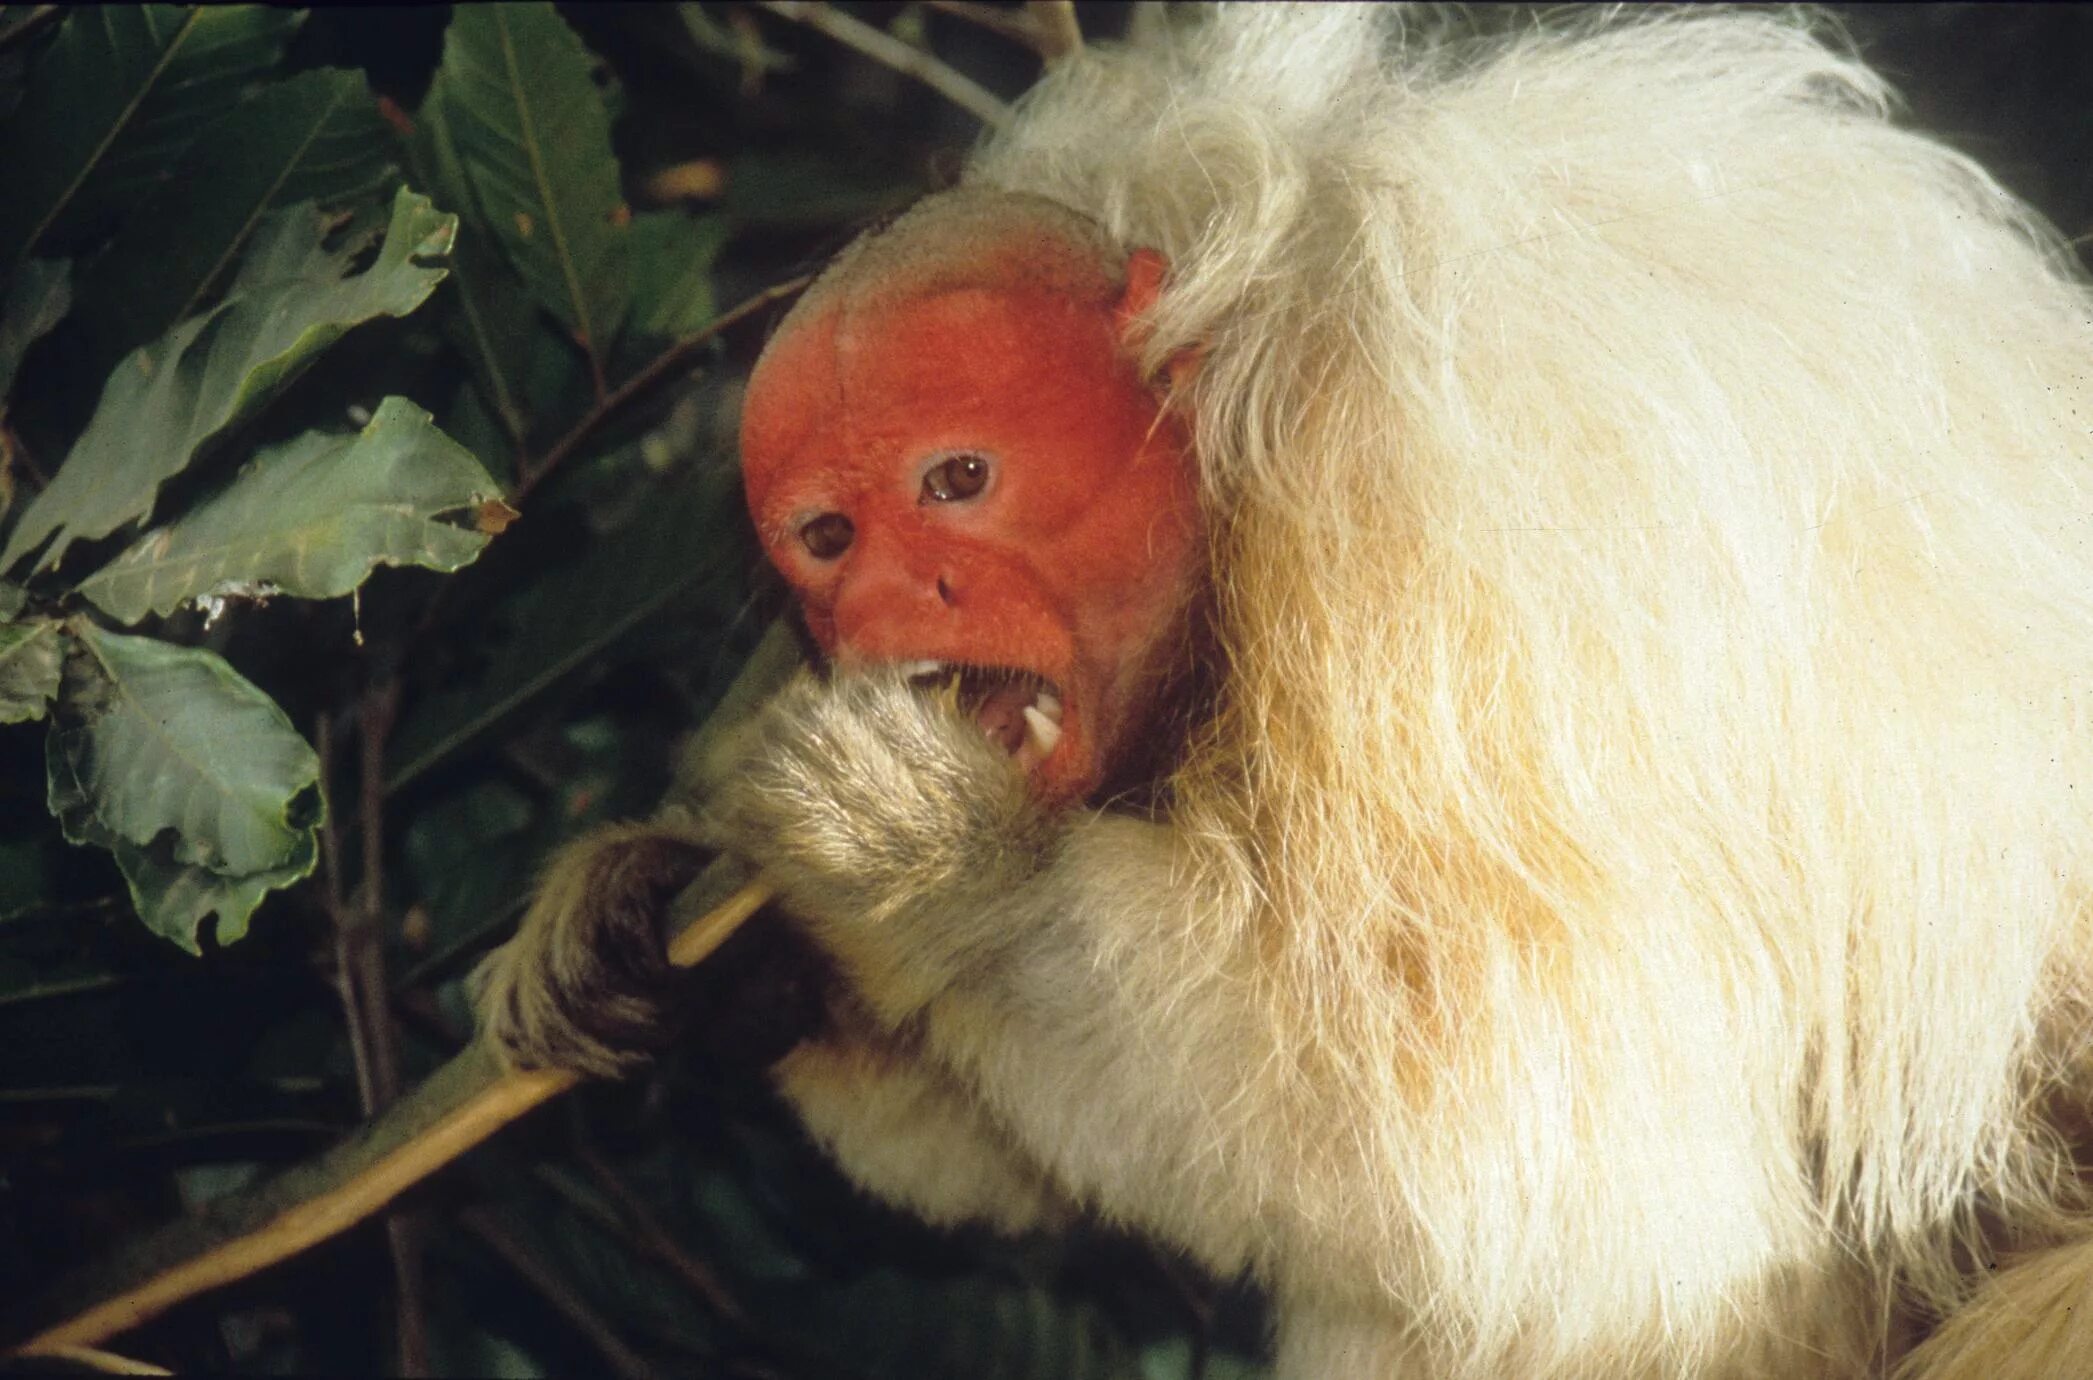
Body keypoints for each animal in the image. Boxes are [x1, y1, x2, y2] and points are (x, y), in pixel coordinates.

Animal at [481, 10, 2093, 1380]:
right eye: (827, 535)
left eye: (958, 480)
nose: (888, 603)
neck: (1232, 454)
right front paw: (704, 929)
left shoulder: (1440, 534)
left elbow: (1552, 1162)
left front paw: (935, 865)